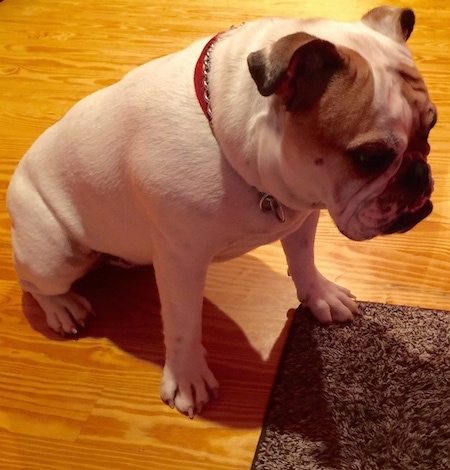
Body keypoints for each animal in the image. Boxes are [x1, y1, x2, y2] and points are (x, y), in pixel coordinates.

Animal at [7, 5, 436, 416]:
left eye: (430, 128)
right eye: (370, 158)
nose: (418, 174)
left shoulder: (302, 215)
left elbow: (303, 261)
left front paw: (319, 295)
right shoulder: (182, 262)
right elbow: (183, 323)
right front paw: (186, 377)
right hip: (56, 255)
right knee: (33, 283)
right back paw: (63, 307)